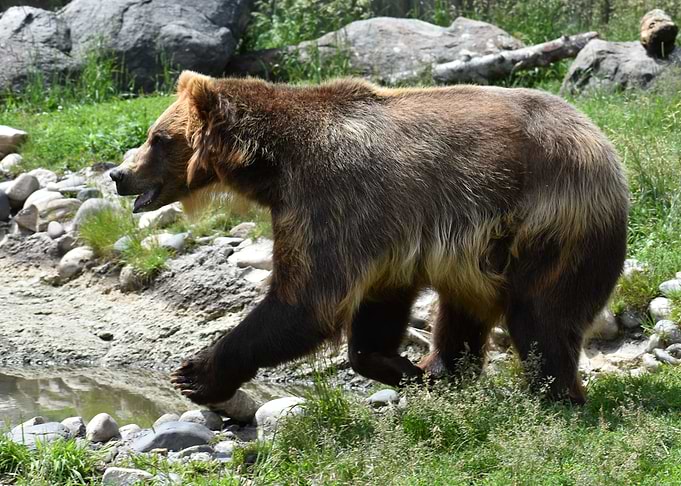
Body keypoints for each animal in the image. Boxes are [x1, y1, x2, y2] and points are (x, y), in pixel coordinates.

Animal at [110, 71, 629, 405]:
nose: (118, 174)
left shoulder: (331, 199)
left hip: (550, 219)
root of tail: (603, 144)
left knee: (542, 316)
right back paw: (444, 369)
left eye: (157, 138)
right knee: (463, 307)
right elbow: (374, 307)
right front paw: (402, 367)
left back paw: (555, 395)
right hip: (482, 251)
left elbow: (306, 301)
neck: (271, 166)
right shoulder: (382, 230)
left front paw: (196, 373)